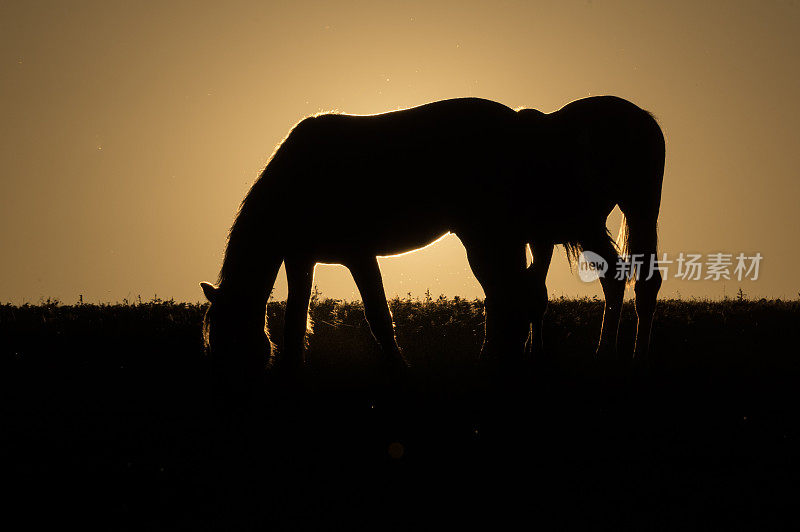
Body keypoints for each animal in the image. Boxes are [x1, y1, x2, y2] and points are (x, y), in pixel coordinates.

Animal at [200, 97, 664, 376]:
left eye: (224, 334)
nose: (222, 377)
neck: (299, 179)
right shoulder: (301, 257)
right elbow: (297, 318)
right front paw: (292, 369)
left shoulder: (358, 254)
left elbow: (378, 316)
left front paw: (399, 370)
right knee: (524, 294)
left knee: (521, 294)